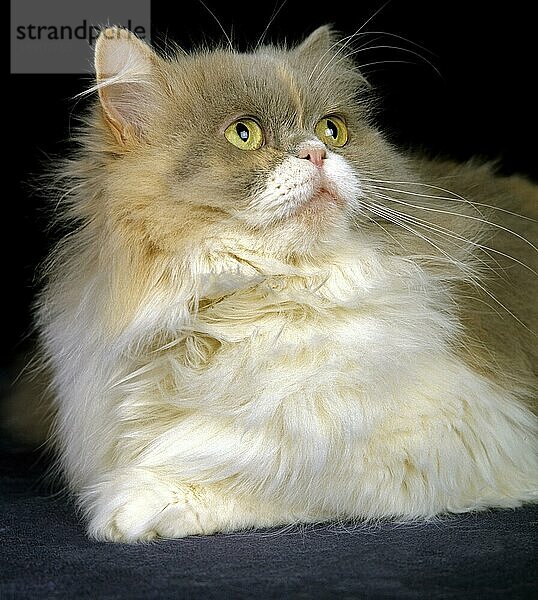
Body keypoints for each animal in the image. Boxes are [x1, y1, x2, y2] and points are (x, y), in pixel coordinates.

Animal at [26, 24, 536, 544]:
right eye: (244, 134)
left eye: (333, 130)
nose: (318, 152)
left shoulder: (456, 438)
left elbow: (265, 467)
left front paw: (137, 503)